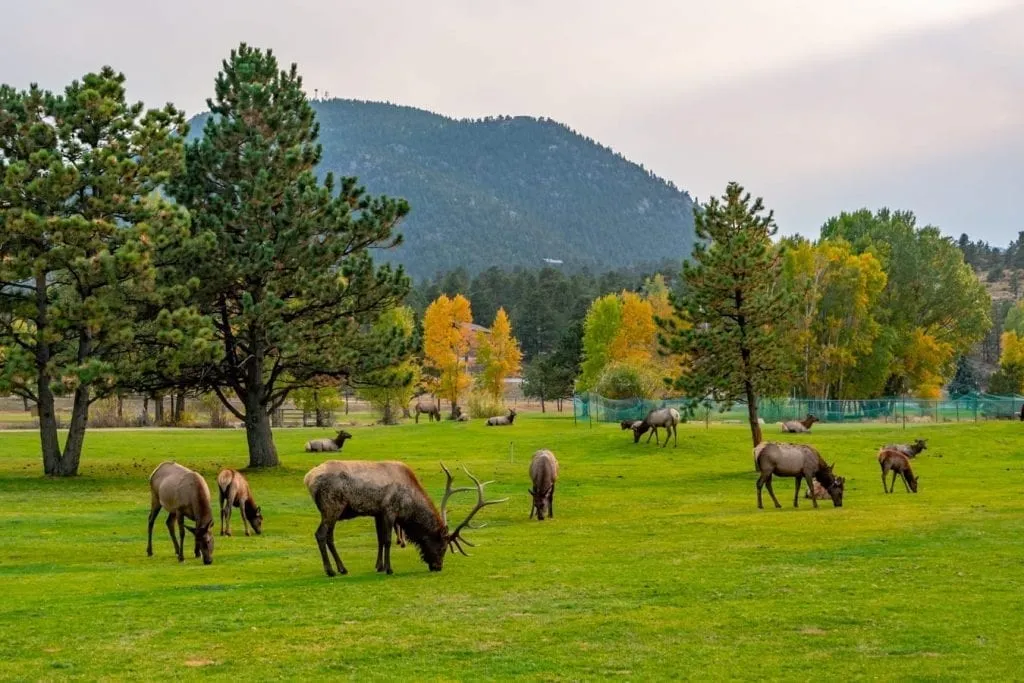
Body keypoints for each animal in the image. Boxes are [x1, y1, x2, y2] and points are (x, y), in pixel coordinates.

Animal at [301, 458, 505, 577]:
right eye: (443, 547)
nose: (438, 566)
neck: (410, 504)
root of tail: (308, 479)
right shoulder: (390, 510)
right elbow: (387, 540)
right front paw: (389, 569)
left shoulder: (378, 512)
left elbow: (379, 540)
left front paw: (379, 566)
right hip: (331, 506)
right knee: (321, 534)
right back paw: (330, 571)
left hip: (333, 511)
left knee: (329, 536)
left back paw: (342, 568)